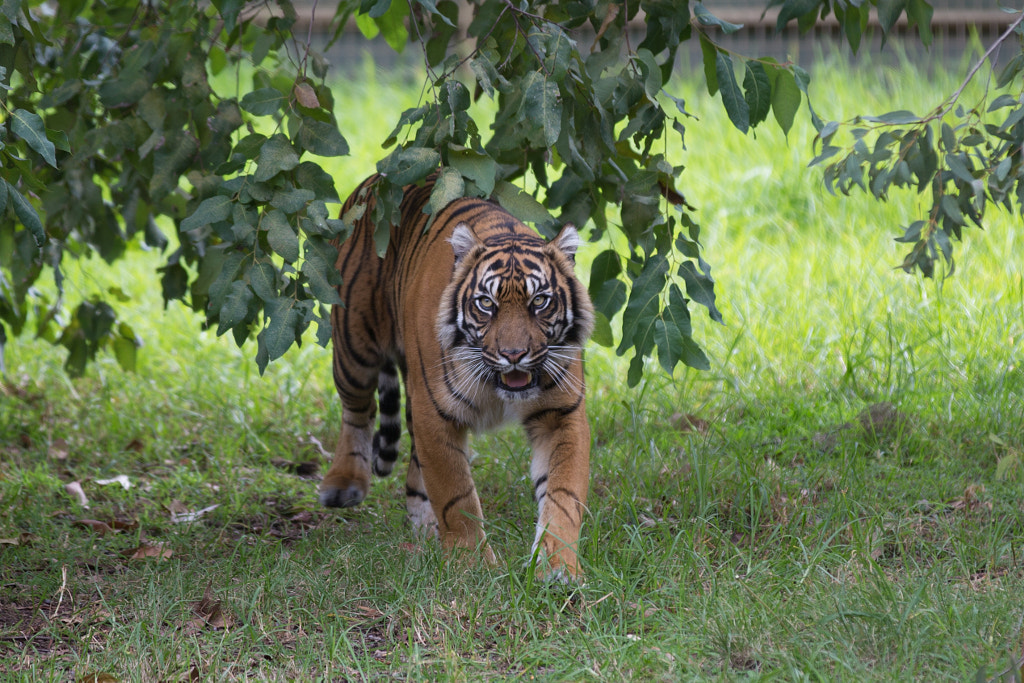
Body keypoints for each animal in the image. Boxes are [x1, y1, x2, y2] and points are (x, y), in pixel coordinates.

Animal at [315, 174, 598, 581]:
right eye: (487, 304)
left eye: (539, 302)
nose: (514, 354)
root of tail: (376, 179)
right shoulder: (436, 414)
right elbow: (456, 494)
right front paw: (473, 566)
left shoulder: (562, 414)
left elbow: (563, 496)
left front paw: (558, 567)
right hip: (355, 344)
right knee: (357, 411)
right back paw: (344, 483)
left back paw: (423, 525)